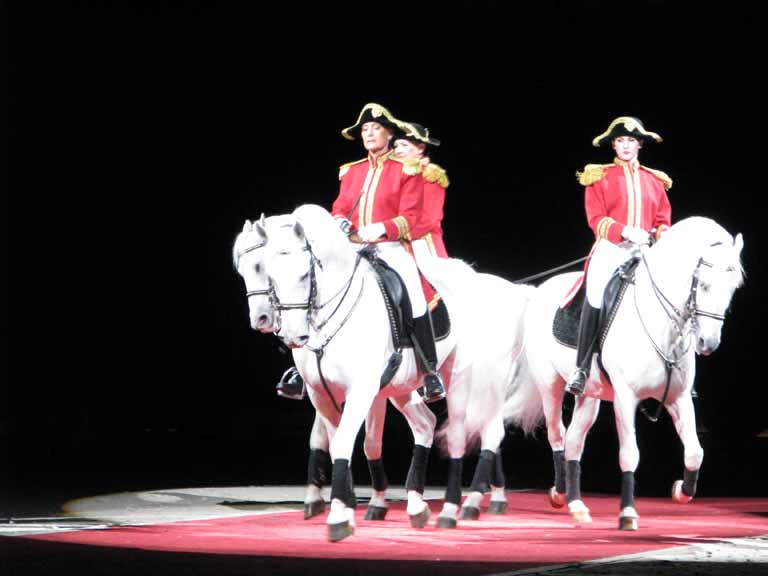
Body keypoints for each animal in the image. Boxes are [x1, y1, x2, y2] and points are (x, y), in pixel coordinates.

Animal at [260, 204, 532, 540]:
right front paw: (345, 508)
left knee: (467, 434)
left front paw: (338, 516)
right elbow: (339, 444)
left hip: (471, 380)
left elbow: (345, 442)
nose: (292, 334)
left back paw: (455, 508)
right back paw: (419, 506)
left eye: (304, 274)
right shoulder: (321, 393)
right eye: (269, 274)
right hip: (403, 386)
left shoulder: (362, 390)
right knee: (427, 425)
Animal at [504, 217, 744, 532]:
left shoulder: (679, 398)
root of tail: (539, 289)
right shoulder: (625, 398)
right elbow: (630, 454)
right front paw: (628, 512)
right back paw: (559, 494)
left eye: (733, 287)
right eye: (703, 285)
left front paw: (681, 490)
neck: (663, 325)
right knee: (558, 435)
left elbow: (695, 452)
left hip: (590, 397)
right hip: (550, 385)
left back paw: (576, 505)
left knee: (574, 441)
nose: (708, 343)